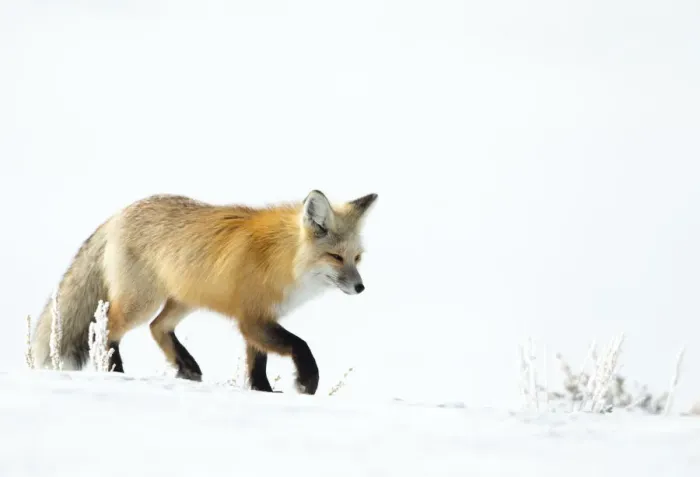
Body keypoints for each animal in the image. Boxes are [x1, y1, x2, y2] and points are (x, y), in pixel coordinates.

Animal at [31, 189, 378, 395]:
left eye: (358, 258)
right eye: (336, 257)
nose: (360, 287)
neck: (282, 259)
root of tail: (119, 214)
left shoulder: (257, 319)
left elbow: (257, 364)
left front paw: (263, 392)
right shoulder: (252, 318)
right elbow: (300, 345)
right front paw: (306, 382)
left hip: (183, 301)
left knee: (158, 327)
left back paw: (187, 367)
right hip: (139, 304)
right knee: (106, 328)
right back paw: (116, 371)